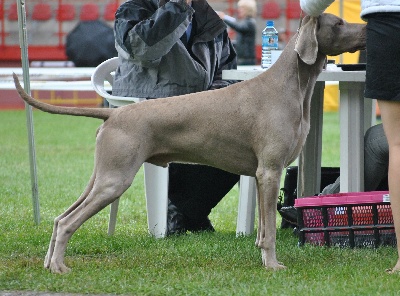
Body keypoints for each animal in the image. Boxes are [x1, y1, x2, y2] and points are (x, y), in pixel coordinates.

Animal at [14, 13, 366, 272]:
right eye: (338, 23)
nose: (366, 29)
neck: (291, 86)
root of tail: (113, 114)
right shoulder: (269, 171)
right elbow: (268, 233)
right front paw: (272, 265)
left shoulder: (260, 174)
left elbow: (263, 228)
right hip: (114, 179)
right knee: (68, 222)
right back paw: (59, 267)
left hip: (101, 175)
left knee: (60, 218)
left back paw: (49, 263)